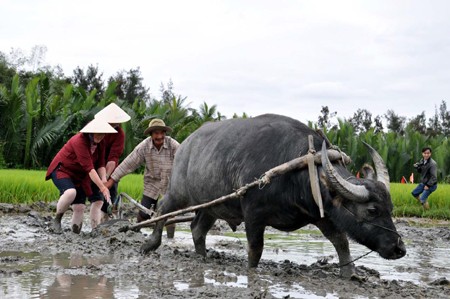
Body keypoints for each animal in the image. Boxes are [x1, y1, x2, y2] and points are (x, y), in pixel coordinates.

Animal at [142, 113, 406, 278]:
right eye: (372, 210)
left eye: (390, 209)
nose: (399, 248)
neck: (298, 169)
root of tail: (185, 144)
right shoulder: (253, 214)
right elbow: (255, 249)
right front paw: (251, 271)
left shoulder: (322, 214)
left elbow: (341, 241)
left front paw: (350, 274)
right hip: (178, 191)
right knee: (163, 208)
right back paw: (150, 244)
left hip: (211, 205)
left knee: (198, 228)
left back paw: (203, 257)